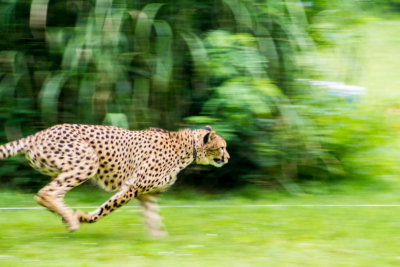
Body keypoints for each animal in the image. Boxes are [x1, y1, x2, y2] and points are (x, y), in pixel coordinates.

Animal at [0, 124, 228, 236]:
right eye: (223, 147)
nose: (228, 158)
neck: (187, 148)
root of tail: (38, 134)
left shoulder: (148, 194)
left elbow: (152, 217)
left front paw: (159, 240)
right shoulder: (132, 187)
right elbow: (106, 209)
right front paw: (84, 217)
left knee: (46, 193)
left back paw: (66, 217)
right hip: (88, 162)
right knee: (46, 193)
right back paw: (72, 220)